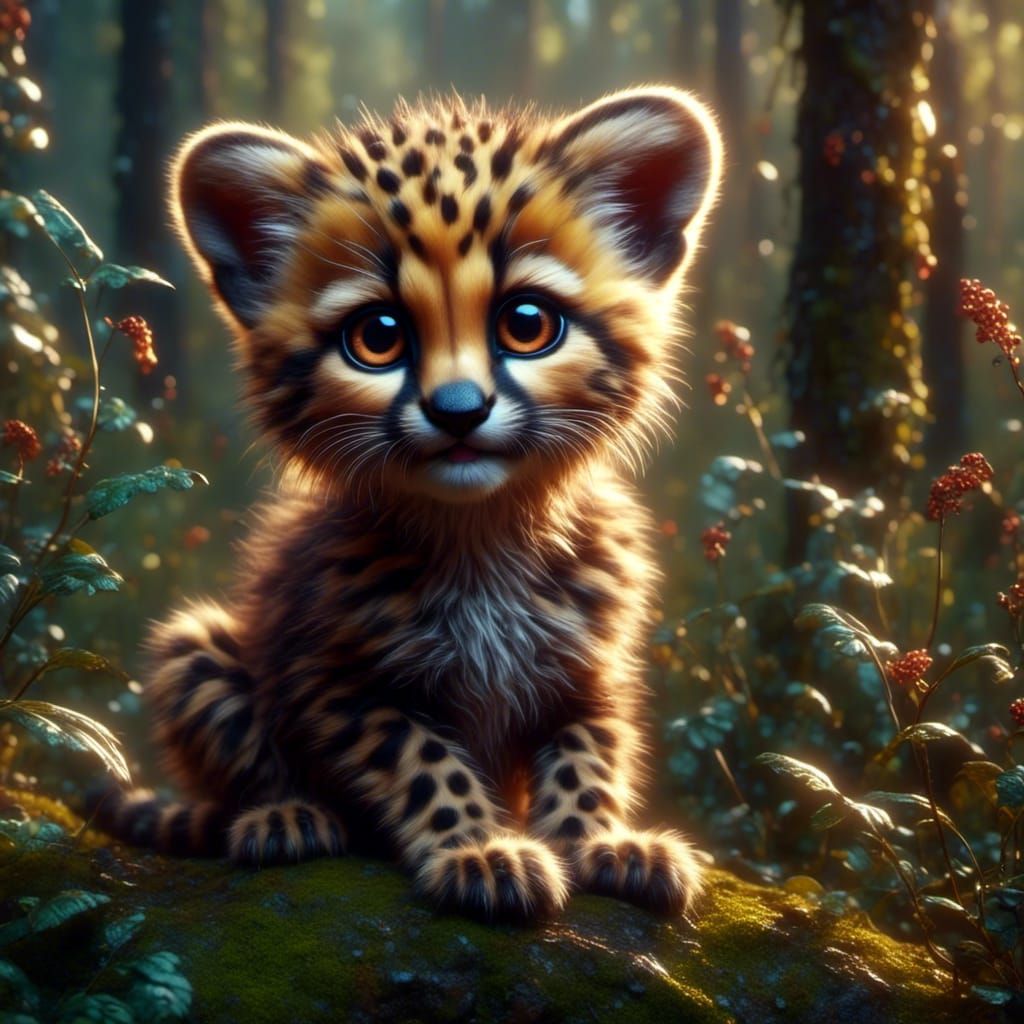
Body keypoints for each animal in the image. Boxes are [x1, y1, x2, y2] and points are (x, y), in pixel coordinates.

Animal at [89, 86, 722, 922]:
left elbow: (589, 753)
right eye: (379, 337)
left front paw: (604, 842)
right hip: (196, 650)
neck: (481, 533)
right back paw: (283, 816)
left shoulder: (589, 673)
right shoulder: (340, 680)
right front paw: (479, 849)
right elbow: (423, 761)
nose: (458, 411)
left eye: (528, 324)